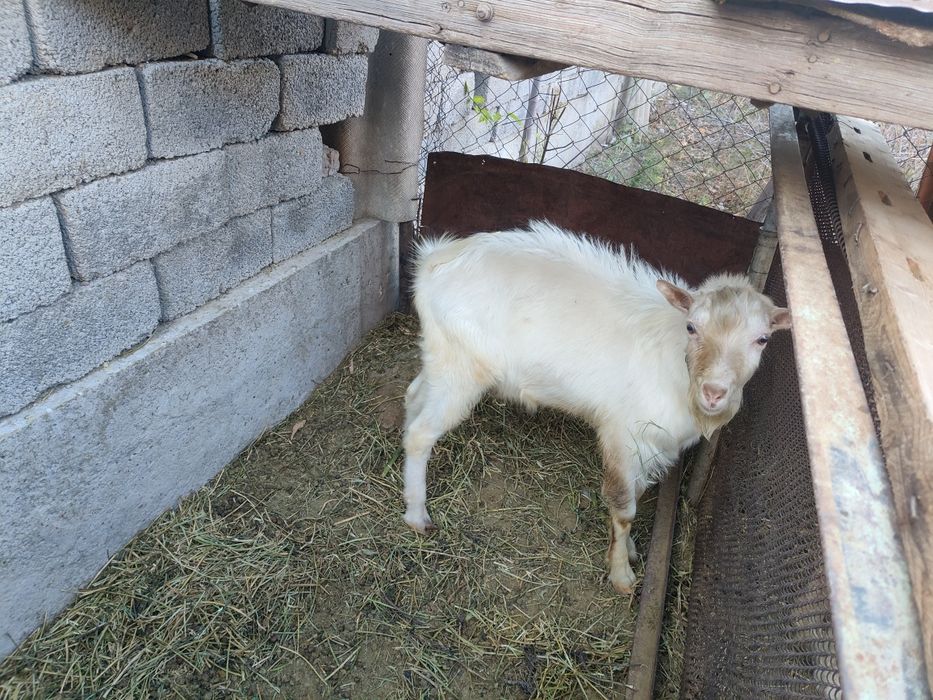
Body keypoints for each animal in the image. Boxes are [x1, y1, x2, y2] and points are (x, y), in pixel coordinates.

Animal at [402, 221, 790, 593]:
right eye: (692, 327)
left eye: (762, 339)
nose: (714, 392)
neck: (676, 370)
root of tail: (434, 259)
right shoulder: (622, 433)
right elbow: (624, 506)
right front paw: (621, 574)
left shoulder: (651, 445)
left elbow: (637, 492)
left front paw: (629, 551)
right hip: (462, 369)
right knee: (422, 433)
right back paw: (417, 515)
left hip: (440, 356)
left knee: (412, 397)